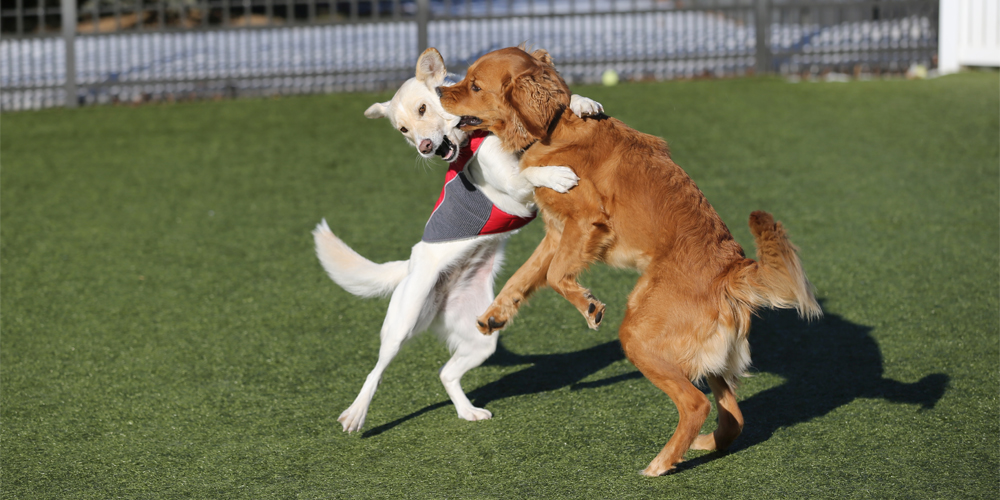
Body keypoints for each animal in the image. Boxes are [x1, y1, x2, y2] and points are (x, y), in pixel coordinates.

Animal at [312, 49, 600, 434]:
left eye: (422, 108)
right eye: (402, 130)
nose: (424, 147)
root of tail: (410, 266)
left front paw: (584, 103)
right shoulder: (513, 189)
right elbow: (528, 172)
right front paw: (555, 174)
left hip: (482, 337)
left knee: (446, 373)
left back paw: (468, 412)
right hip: (404, 320)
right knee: (377, 370)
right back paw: (356, 413)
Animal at [442, 47, 824, 476]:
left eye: (474, 85)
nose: (438, 91)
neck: (553, 128)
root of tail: (731, 270)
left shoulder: (585, 223)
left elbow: (556, 276)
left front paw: (588, 306)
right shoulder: (557, 233)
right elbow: (523, 278)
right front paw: (494, 315)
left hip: (638, 335)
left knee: (697, 405)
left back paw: (660, 464)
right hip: (706, 356)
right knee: (733, 419)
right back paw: (700, 446)